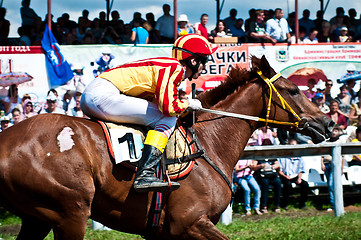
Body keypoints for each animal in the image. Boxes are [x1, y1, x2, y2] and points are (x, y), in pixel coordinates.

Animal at [0, 55, 332, 238]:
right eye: (293, 90)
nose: (328, 123)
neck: (210, 143)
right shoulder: (192, 223)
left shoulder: (163, 233)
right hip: (70, 213)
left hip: (37, 219)